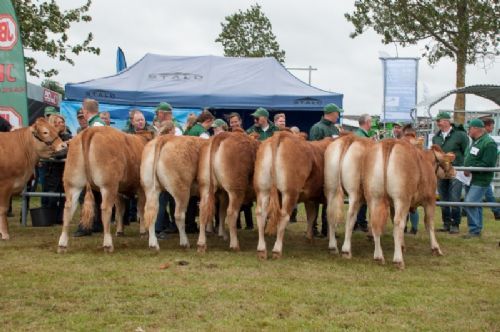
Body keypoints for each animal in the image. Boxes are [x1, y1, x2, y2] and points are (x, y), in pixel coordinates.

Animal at [362, 139, 456, 268]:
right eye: (449, 162)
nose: (454, 172)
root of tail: (389, 142)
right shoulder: (430, 200)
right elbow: (429, 223)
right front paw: (436, 248)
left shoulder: (392, 205)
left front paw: (402, 245)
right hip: (402, 199)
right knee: (398, 223)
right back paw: (398, 260)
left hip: (375, 197)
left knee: (376, 222)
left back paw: (378, 257)